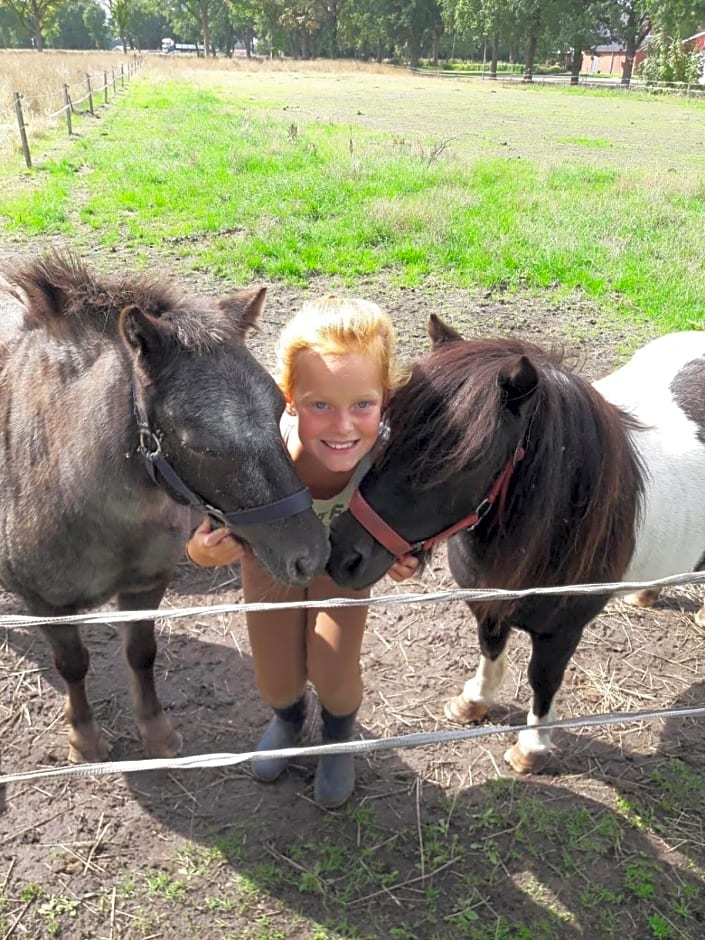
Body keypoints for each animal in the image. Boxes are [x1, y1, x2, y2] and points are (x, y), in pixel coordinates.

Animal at [0, 252, 330, 764]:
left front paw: (156, 732)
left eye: (280, 410)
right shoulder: (45, 604)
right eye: (200, 445)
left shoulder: (148, 584)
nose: (310, 555)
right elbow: (72, 664)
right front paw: (85, 738)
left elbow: (142, 653)